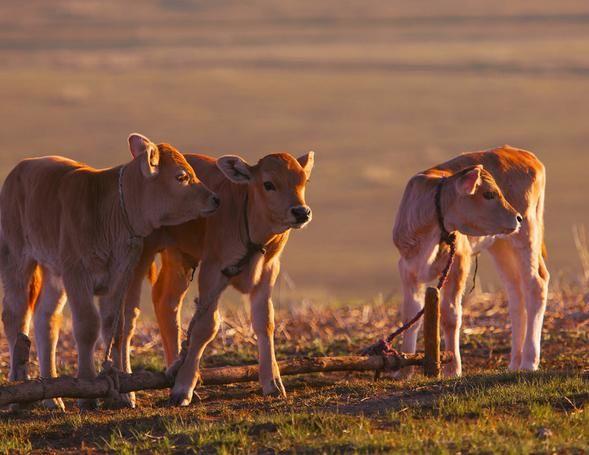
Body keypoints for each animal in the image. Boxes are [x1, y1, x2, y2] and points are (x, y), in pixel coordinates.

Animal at [0, 134, 218, 410]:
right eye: (181, 176)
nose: (215, 198)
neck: (107, 212)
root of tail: (22, 168)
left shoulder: (119, 276)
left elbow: (115, 327)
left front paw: (124, 393)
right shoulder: (77, 273)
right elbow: (87, 326)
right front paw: (86, 390)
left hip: (53, 273)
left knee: (45, 320)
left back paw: (53, 397)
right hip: (15, 258)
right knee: (15, 316)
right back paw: (18, 390)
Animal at [392, 146, 548, 378]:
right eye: (489, 194)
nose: (517, 217)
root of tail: (523, 153)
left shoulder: (459, 260)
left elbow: (450, 315)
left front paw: (453, 369)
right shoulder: (407, 268)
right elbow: (411, 317)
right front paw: (404, 373)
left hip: (527, 233)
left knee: (535, 285)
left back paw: (529, 361)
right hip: (501, 245)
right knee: (516, 294)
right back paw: (514, 363)